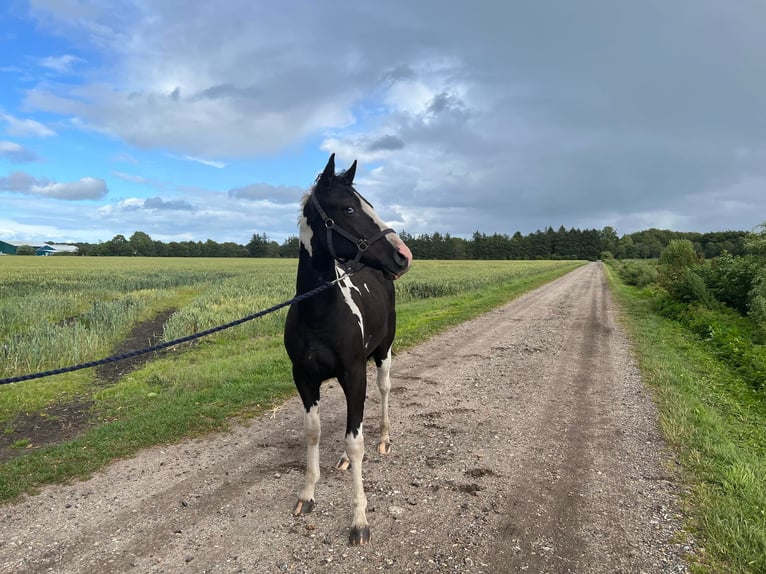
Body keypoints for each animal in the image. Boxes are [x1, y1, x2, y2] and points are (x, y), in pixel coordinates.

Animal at [284, 155, 414, 548]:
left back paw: (384, 439)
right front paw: (307, 494)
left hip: (384, 353)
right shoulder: (305, 378)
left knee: (383, 392)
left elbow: (357, 442)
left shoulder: (355, 373)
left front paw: (359, 519)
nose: (403, 256)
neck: (318, 313)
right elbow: (314, 432)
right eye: (349, 208)